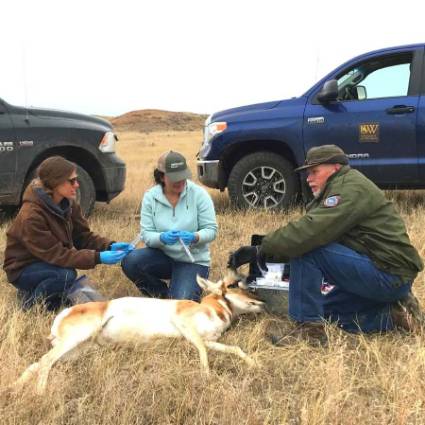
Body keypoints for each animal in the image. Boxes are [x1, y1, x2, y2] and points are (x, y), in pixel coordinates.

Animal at [15, 272, 262, 394]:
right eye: (233, 286)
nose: (260, 301)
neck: (210, 309)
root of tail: (65, 314)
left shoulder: (207, 340)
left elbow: (234, 349)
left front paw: (254, 364)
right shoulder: (185, 326)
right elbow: (202, 350)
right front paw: (206, 376)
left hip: (75, 351)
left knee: (36, 363)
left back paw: (15, 387)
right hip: (75, 340)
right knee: (45, 361)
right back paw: (40, 392)